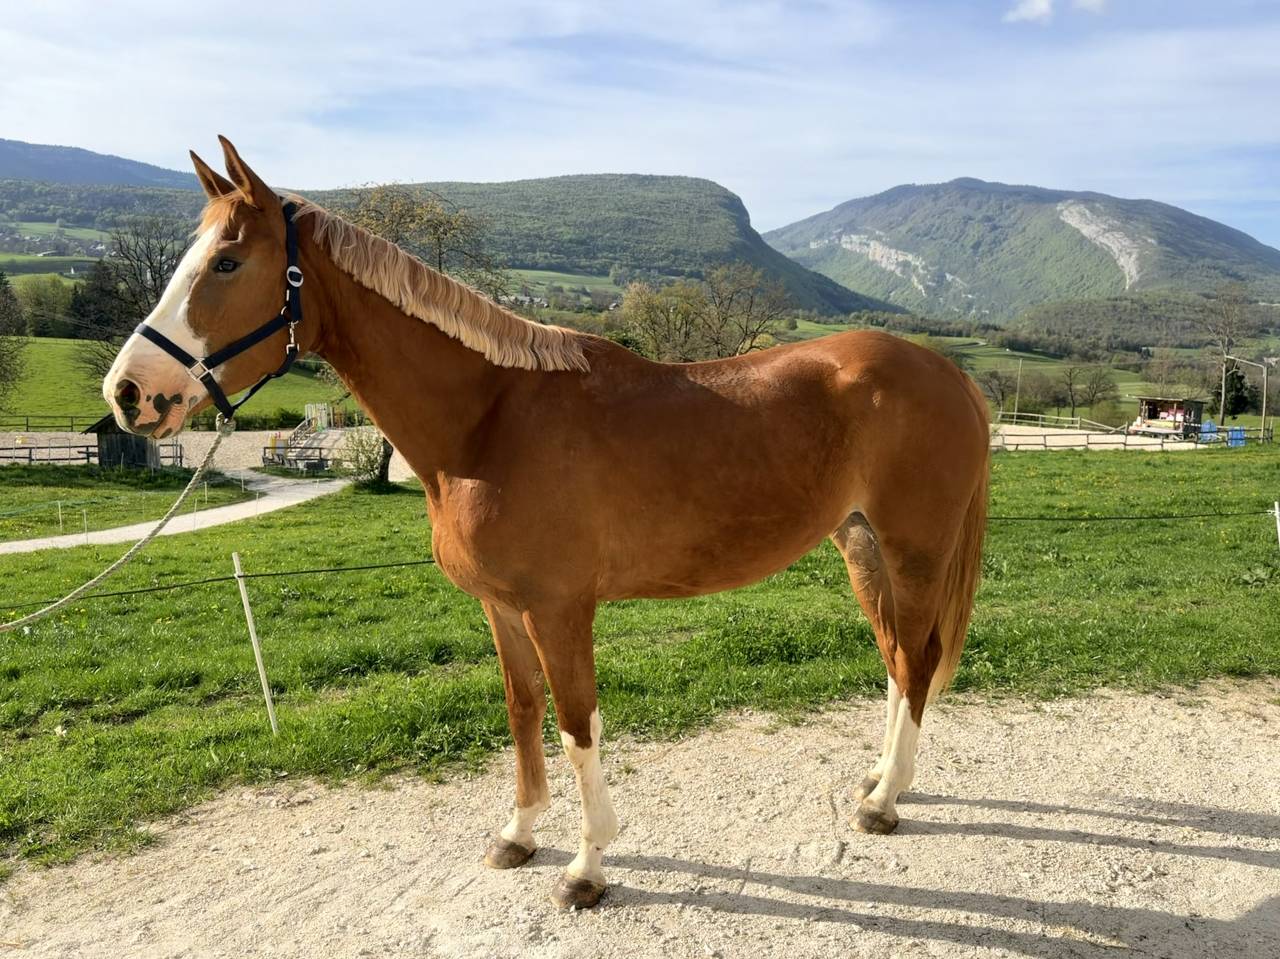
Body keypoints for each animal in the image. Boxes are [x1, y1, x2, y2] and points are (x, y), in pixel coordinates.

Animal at [102, 138, 990, 910]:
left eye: (227, 261)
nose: (128, 392)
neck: (490, 419)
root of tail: (950, 373)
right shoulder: (501, 605)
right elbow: (522, 711)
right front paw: (519, 835)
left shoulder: (560, 608)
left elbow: (575, 726)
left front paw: (587, 867)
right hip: (862, 546)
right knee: (895, 661)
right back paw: (879, 779)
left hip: (912, 551)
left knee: (915, 661)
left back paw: (885, 802)